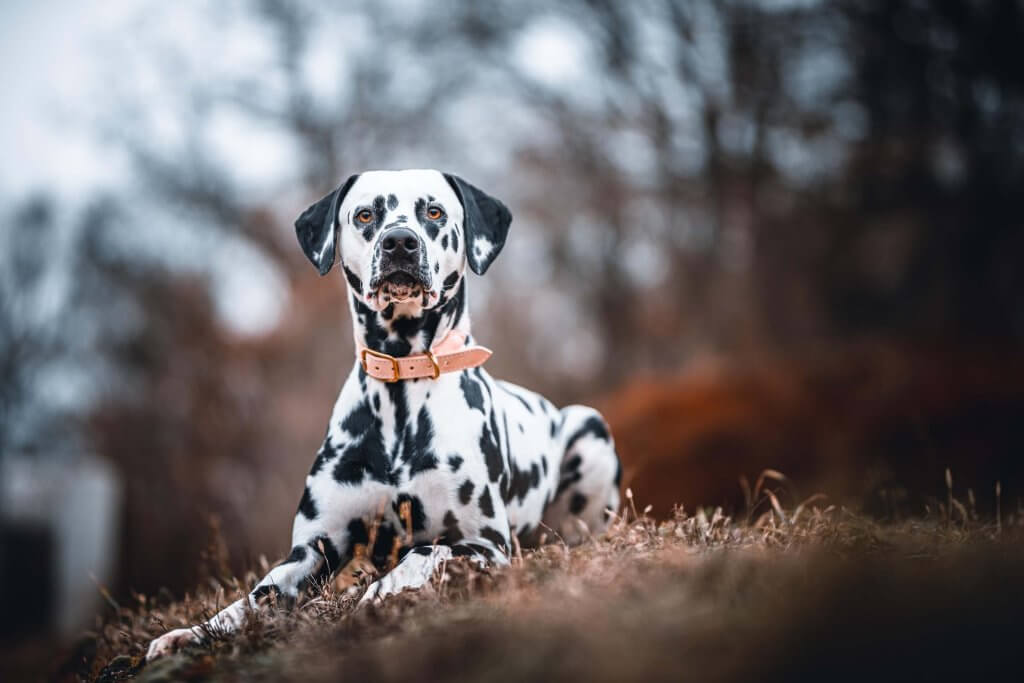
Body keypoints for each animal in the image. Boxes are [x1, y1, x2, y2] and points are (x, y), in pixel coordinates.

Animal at [147, 167, 618, 659]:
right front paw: (193, 633)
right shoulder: (313, 549)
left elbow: (421, 553)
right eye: (365, 214)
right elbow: (255, 597)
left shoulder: (485, 544)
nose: (399, 242)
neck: (401, 389)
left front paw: (378, 595)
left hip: (589, 428)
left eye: (434, 211)